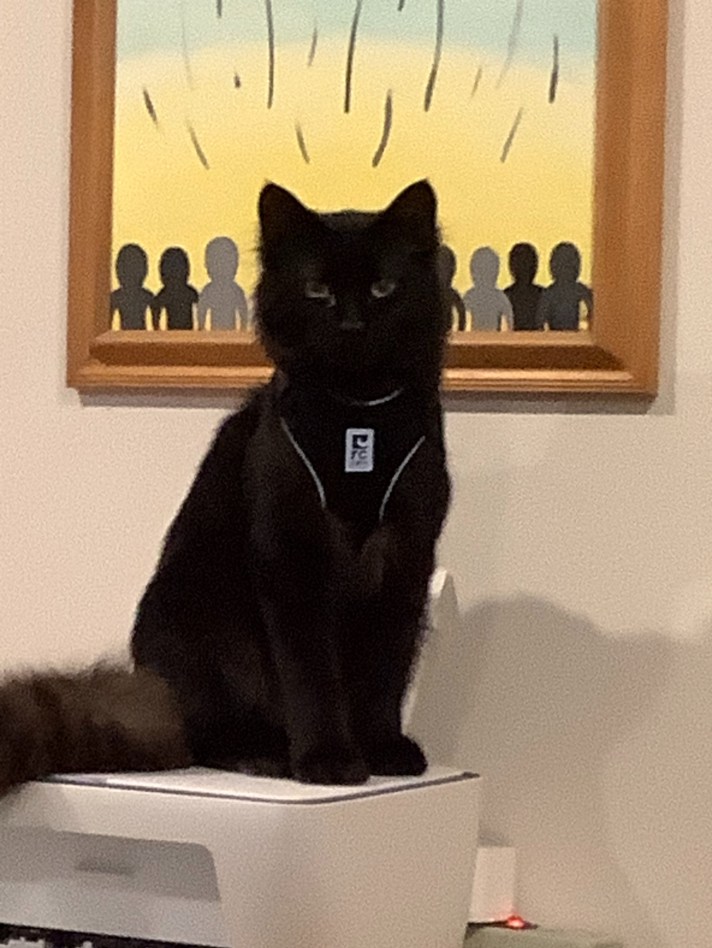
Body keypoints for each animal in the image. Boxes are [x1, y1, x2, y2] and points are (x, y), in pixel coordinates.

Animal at [0, 179, 450, 792]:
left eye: (384, 288)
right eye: (317, 290)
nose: (351, 325)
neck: (358, 418)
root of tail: (159, 697)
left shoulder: (407, 556)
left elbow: (388, 671)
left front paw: (382, 749)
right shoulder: (291, 559)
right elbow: (313, 679)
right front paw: (329, 760)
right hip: (201, 614)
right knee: (210, 737)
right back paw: (265, 754)